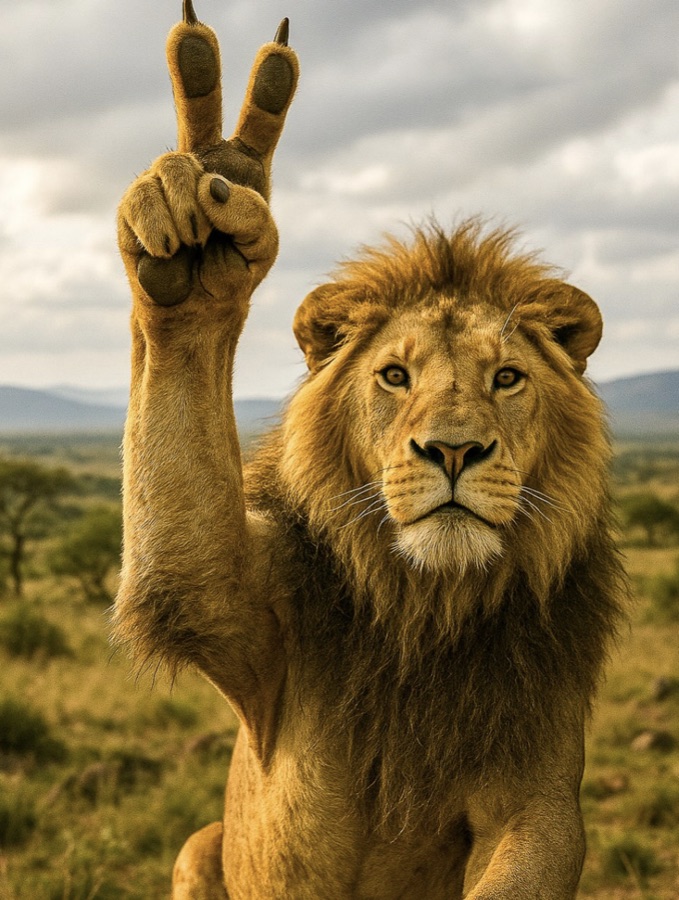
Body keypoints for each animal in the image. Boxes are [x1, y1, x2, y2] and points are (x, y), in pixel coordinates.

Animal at [114, 4, 627, 898]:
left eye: (505, 378)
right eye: (394, 375)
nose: (452, 451)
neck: (429, 605)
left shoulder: (538, 790)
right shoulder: (235, 611)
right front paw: (204, 225)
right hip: (199, 846)